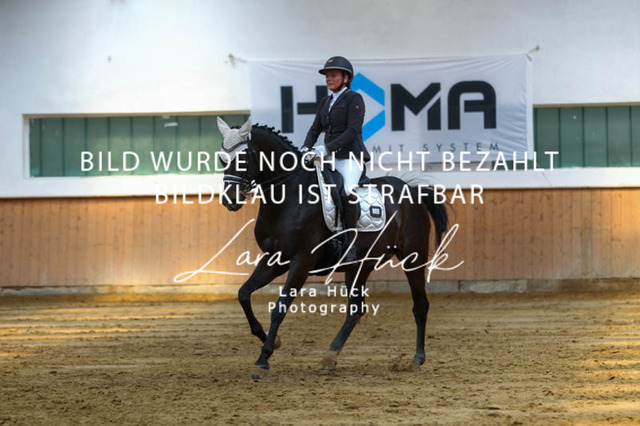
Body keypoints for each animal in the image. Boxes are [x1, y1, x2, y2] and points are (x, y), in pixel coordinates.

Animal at [216, 117, 448, 380]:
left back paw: (417, 358)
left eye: (244, 158)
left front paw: (263, 360)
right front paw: (272, 341)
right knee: (356, 310)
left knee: (420, 305)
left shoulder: (301, 262)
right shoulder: (274, 259)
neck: (288, 195)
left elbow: (280, 308)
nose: (230, 200)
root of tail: (411, 191)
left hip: (413, 258)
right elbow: (243, 293)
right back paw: (331, 355)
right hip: (360, 266)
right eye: (222, 159)